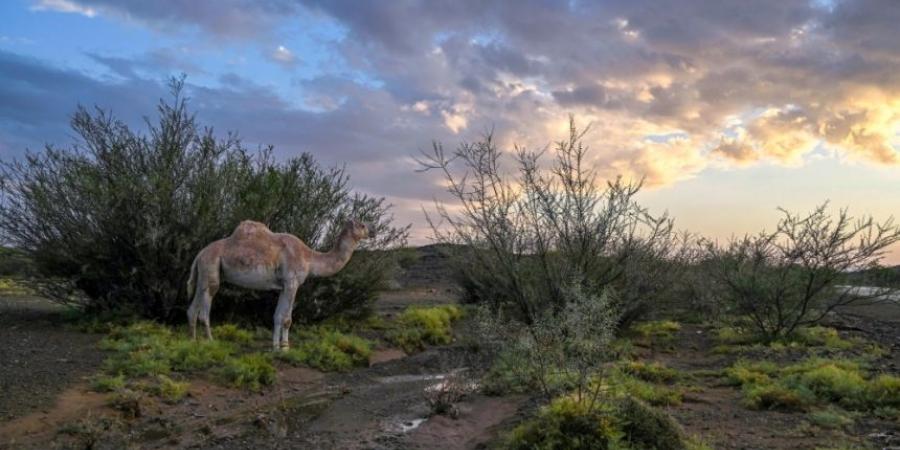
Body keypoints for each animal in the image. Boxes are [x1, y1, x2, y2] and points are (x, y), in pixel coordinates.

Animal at [186, 220, 372, 350]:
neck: (309, 258)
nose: (372, 231)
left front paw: (275, 347)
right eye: (362, 225)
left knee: (192, 309)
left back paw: (193, 341)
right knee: (205, 310)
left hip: (204, 273)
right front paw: (286, 347)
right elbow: (287, 318)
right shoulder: (292, 282)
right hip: (211, 269)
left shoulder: (284, 286)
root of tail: (199, 254)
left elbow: (277, 316)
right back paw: (210, 342)